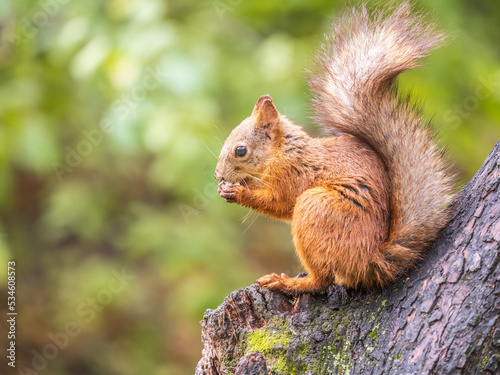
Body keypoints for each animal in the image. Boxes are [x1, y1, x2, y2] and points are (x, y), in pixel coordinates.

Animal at [213, 2, 456, 296]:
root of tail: (371, 259)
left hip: (316, 209)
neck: (283, 153)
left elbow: (280, 204)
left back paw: (289, 282)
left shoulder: (293, 175)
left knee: (322, 280)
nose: (218, 176)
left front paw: (238, 192)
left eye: (240, 150)